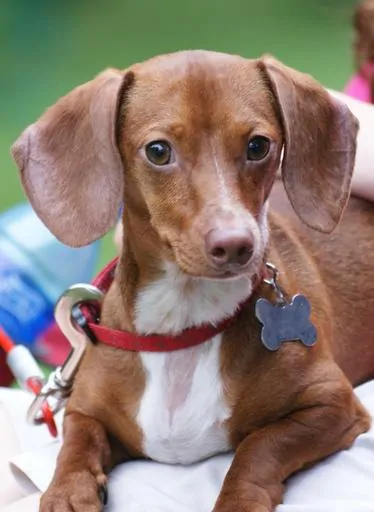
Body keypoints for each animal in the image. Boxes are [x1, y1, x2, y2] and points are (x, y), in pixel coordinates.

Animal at [10, 51, 374, 512]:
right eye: (158, 151)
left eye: (258, 145)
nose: (237, 245)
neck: (182, 325)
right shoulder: (84, 410)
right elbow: (77, 441)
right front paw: (67, 490)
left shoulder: (333, 405)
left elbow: (259, 445)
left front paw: (238, 499)